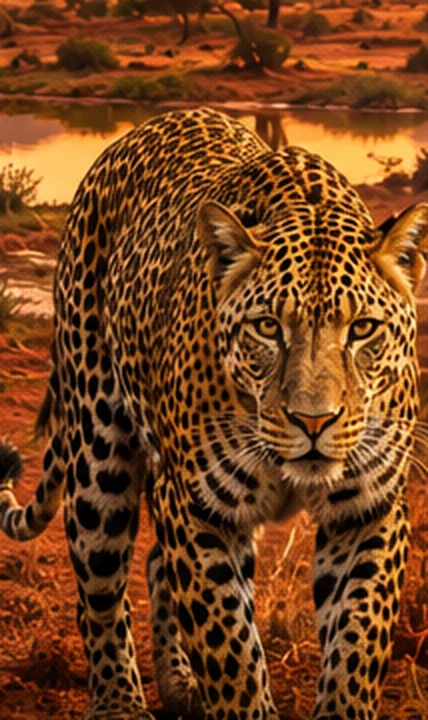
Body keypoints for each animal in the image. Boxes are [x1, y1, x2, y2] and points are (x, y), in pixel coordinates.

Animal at [1, 106, 427, 720]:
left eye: (363, 329)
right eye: (268, 327)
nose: (314, 423)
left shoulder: (369, 510)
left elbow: (357, 642)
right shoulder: (199, 509)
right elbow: (230, 649)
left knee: (155, 565)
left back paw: (181, 686)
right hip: (98, 454)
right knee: (101, 590)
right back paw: (120, 703)